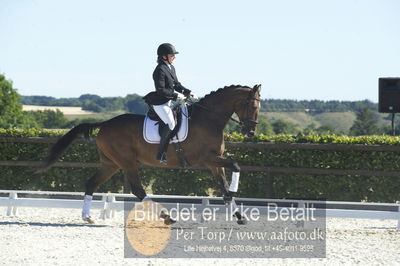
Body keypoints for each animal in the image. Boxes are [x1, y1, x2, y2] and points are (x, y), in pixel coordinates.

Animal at [39, 84, 262, 224]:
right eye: (252, 105)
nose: (251, 132)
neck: (208, 120)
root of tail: (106, 123)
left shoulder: (215, 163)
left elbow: (224, 187)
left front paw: (239, 215)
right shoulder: (207, 159)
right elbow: (236, 165)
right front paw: (234, 190)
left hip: (111, 164)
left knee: (92, 183)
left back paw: (87, 217)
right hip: (127, 161)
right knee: (137, 189)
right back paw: (166, 216)